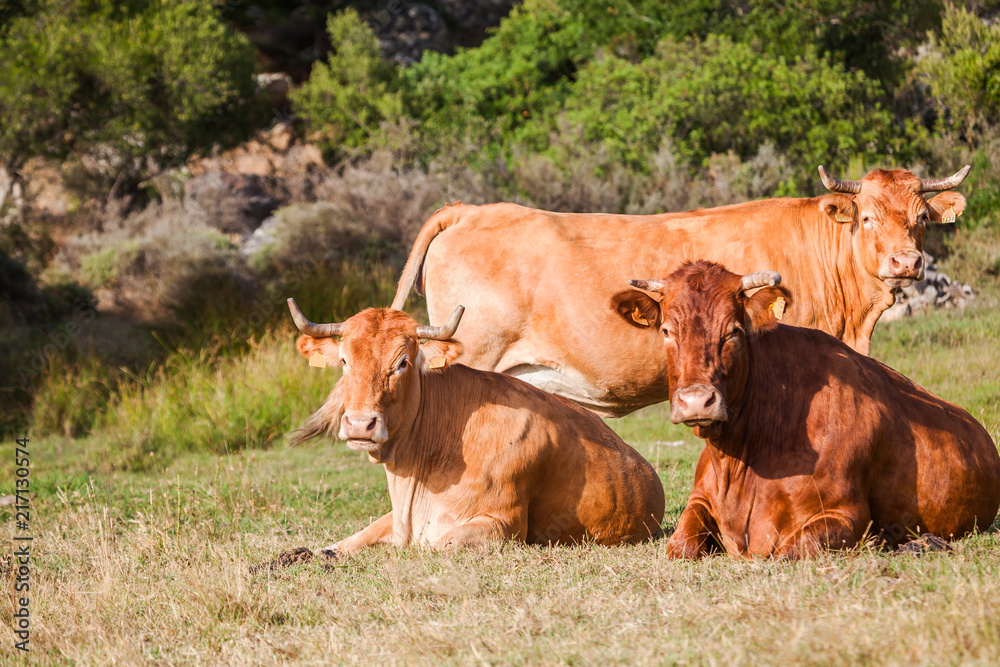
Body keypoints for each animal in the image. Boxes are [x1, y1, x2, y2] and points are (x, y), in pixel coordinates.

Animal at [624, 260, 1000, 560]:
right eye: (666, 330)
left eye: (733, 331)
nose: (696, 401)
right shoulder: (698, 500)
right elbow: (680, 545)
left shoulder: (846, 516)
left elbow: (788, 551)